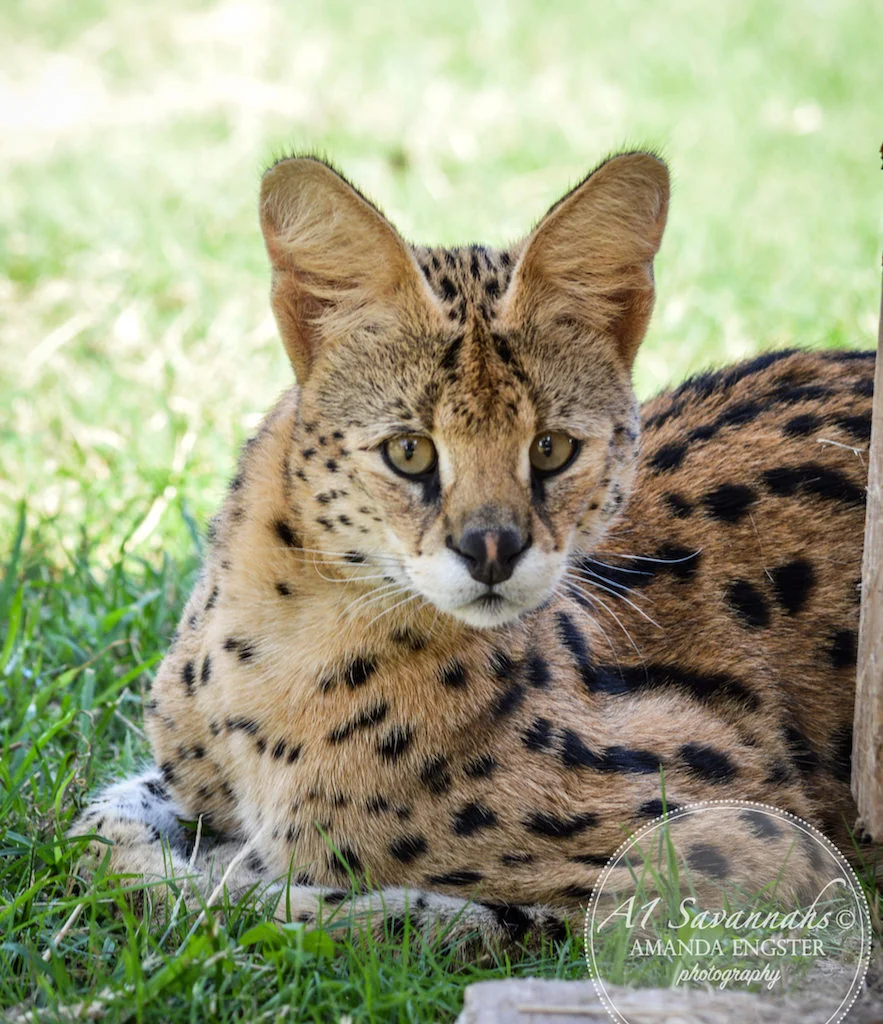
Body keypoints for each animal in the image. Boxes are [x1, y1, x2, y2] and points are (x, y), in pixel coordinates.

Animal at [71, 151, 876, 949]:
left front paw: (251, 879)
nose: (492, 549)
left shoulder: (764, 848)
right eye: (408, 451)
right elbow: (103, 835)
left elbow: (313, 912)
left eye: (551, 448)